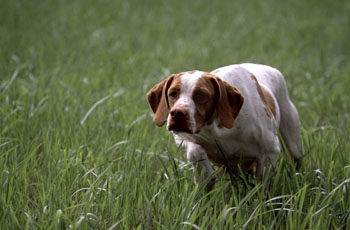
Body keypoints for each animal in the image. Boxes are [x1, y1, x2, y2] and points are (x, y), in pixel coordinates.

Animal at [146, 62, 302, 189]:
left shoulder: (270, 151)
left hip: (293, 143)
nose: (177, 114)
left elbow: (263, 187)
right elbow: (195, 151)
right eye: (173, 94)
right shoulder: (181, 137)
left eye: (201, 95)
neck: (217, 129)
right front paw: (205, 174)